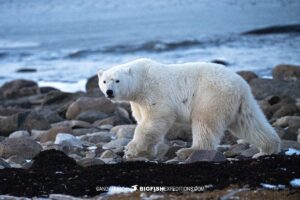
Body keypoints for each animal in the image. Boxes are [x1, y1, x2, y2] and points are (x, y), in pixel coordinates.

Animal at [98, 58, 282, 160]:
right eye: (104, 81)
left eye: (117, 80)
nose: (109, 92)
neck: (141, 80)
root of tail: (241, 85)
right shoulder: (138, 102)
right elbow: (144, 120)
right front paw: (148, 151)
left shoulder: (154, 92)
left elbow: (155, 119)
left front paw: (131, 150)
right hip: (239, 103)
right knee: (250, 123)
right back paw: (268, 149)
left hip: (210, 95)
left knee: (204, 123)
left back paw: (190, 151)